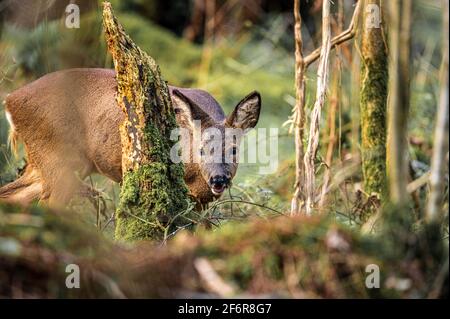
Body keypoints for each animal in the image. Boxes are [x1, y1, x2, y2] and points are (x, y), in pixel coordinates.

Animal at [0, 68, 262, 208]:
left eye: (234, 149)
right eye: (201, 150)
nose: (218, 179)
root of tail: (10, 100)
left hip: (47, 163)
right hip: (58, 158)